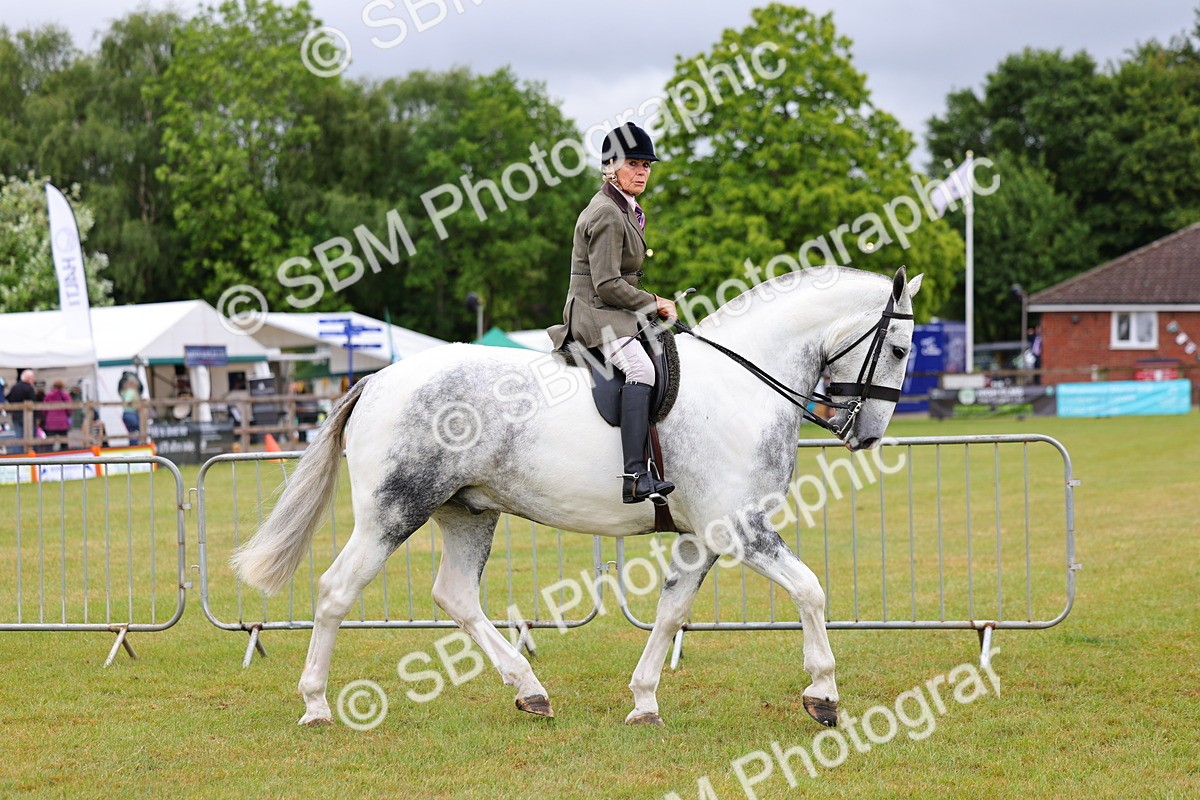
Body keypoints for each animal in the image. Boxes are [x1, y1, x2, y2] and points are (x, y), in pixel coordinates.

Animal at [233, 265, 923, 728]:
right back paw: (316, 705)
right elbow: (810, 589)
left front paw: (644, 701)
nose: (867, 434)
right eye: (898, 347)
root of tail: (375, 380)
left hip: (467, 512)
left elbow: (671, 613)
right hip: (392, 514)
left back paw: (529, 689)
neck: (743, 382)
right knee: (335, 591)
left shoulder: (702, 538)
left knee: (455, 596)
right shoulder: (741, 529)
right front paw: (823, 695)